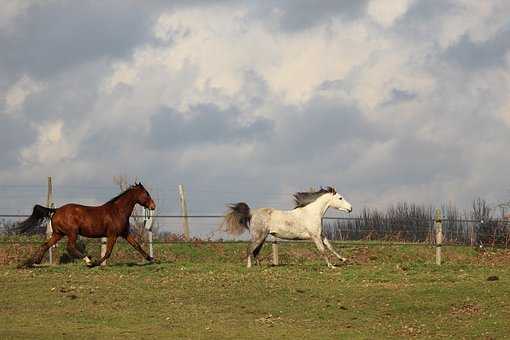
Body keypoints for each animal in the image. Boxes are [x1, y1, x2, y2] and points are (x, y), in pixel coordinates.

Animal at [18, 182, 155, 266]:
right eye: (146, 193)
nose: (153, 206)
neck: (117, 211)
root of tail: (56, 210)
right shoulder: (112, 234)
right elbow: (108, 252)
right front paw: (95, 263)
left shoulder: (125, 233)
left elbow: (137, 245)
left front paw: (152, 259)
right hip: (72, 233)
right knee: (70, 247)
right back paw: (88, 260)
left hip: (58, 234)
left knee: (45, 245)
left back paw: (33, 262)